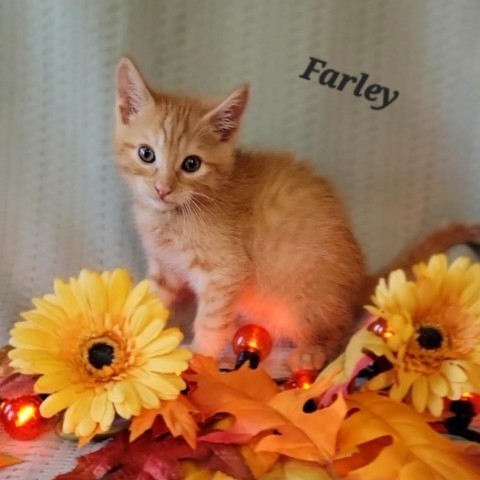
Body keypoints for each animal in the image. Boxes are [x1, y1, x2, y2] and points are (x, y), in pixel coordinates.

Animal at [113, 57, 480, 372]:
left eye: (191, 164)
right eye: (146, 154)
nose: (163, 188)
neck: (169, 216)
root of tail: (358, 278)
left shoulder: (225, 273)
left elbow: (211, 320)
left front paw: (200, 357)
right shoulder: (165, 271)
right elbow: (147, 304)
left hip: (302, 301)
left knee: (338, 333)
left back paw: (311, 352)